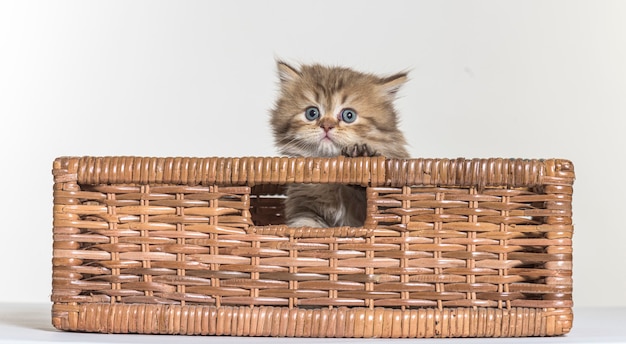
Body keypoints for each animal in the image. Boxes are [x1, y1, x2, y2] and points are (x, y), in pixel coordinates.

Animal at [270, 61, 410, 228]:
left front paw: (361, 157)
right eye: (312, 113)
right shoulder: (303, 205)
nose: (326, 126)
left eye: (349, 115)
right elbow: (305, 223)